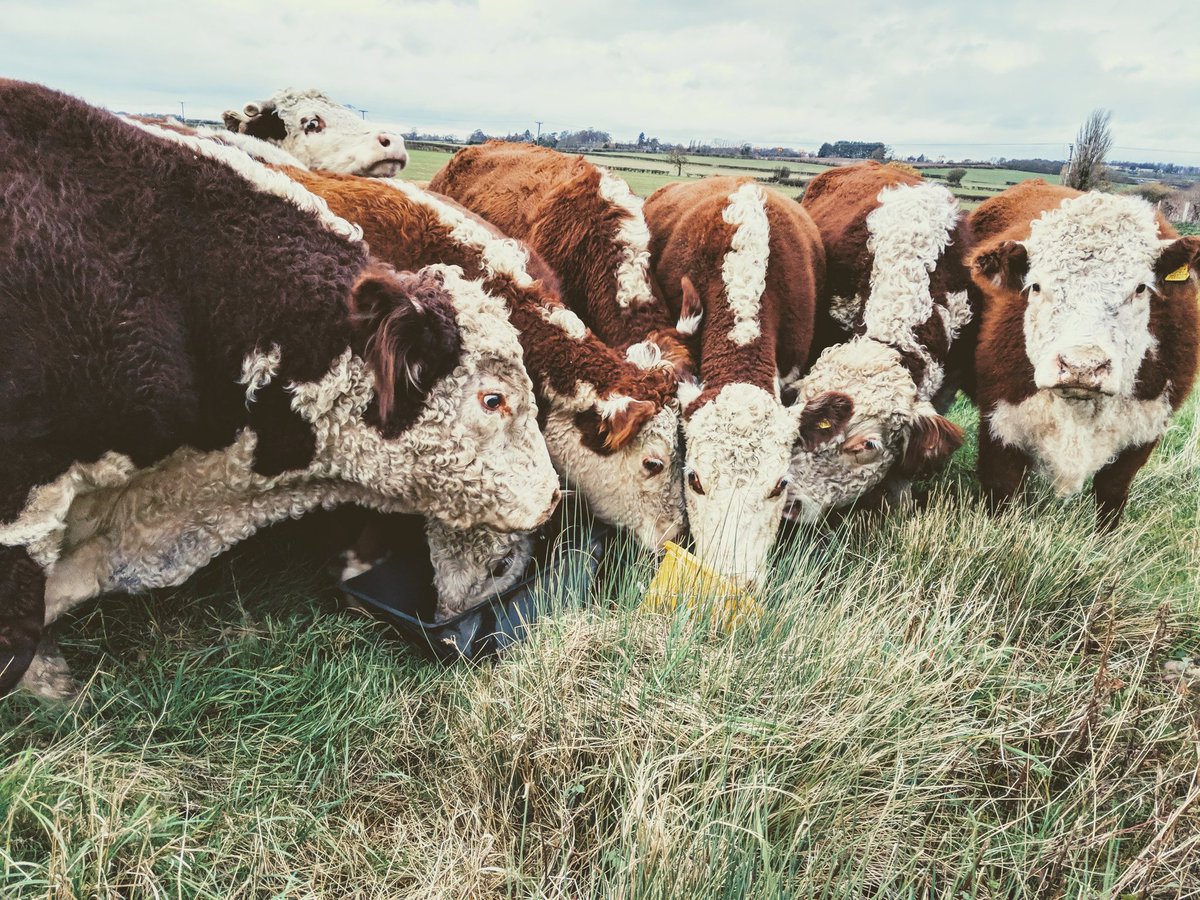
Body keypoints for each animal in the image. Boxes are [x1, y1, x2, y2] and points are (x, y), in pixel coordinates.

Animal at [967, 179, 1199, 526]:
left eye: (1140, 288)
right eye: (1036, 286)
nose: (1082, 367)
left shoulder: (1144, 433)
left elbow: (1112, 494)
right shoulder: (1000, 426)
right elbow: (1002, 491)